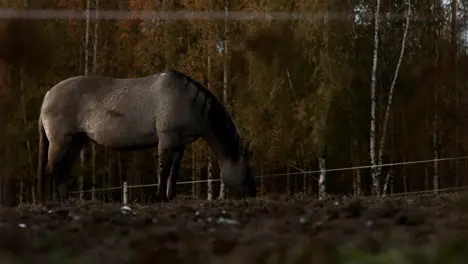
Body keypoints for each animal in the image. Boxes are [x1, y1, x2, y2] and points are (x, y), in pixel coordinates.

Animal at [36, 69, 256, 203]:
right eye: (246, 167)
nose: (253, 192)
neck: (186, 101)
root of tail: (47, 95)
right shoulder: (167, 140)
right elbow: (163, 170)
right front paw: (159, 198)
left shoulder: (180, 144)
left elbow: (173, 174)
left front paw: (170, 197)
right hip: (59, 141)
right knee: (50, 170)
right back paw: (48, 202)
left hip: (76, 141)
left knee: (62, 172)